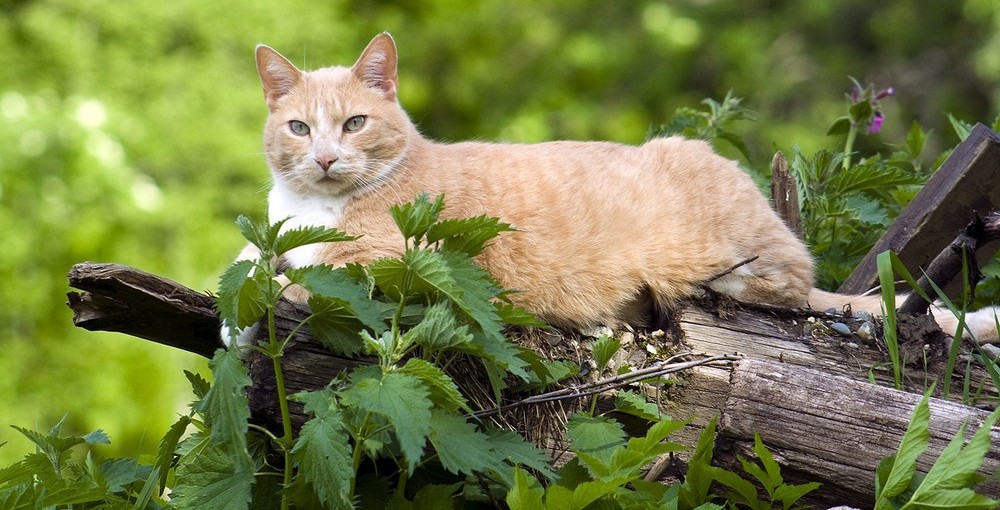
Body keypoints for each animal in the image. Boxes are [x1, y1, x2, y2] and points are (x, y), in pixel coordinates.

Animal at [238, 31, 996, 342]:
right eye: (301, 129)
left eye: (355, 124)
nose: (326, 159)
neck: (313, 204)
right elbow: (250, 259)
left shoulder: (402, 263)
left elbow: (306, 276)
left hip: (732, 261)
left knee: (781, 284)